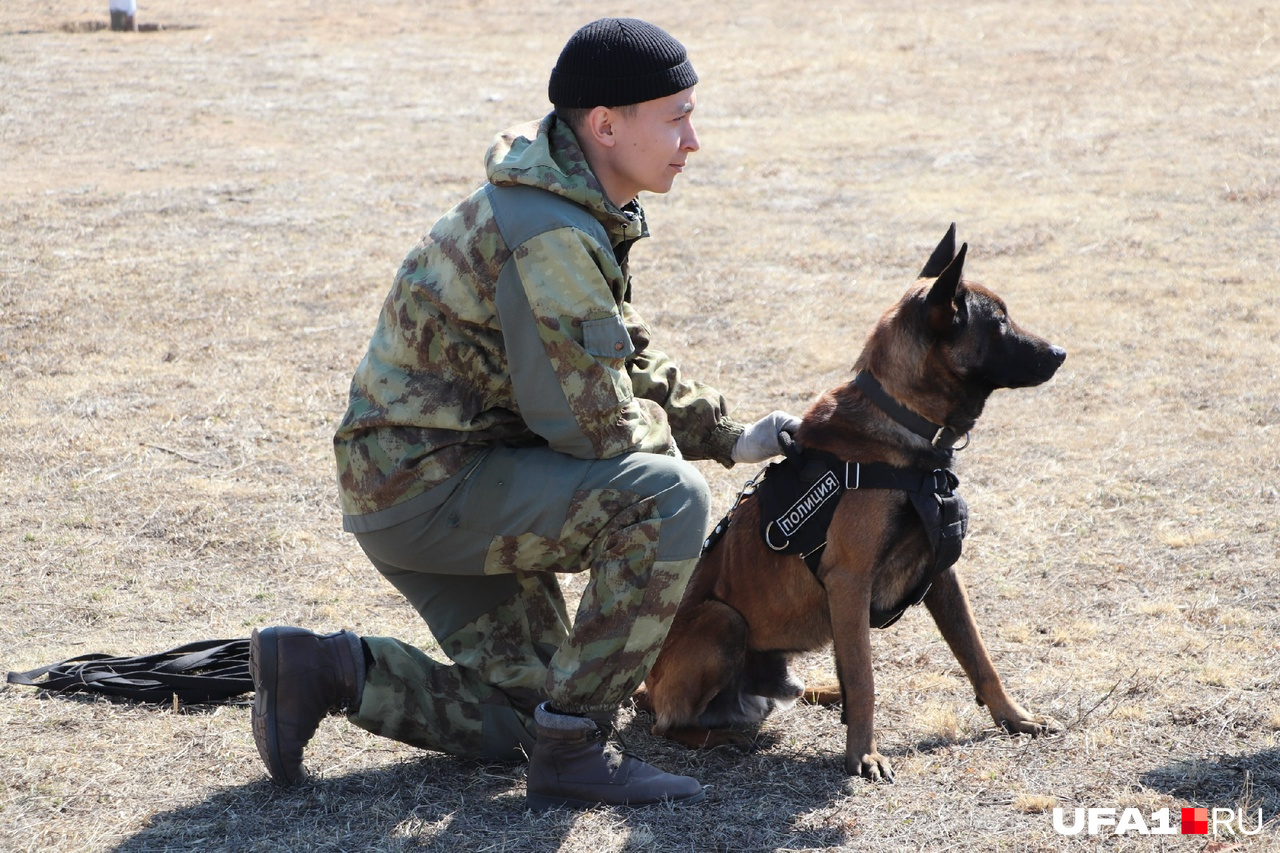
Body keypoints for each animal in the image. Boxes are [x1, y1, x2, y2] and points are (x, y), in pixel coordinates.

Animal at [645, 224, 1064, 778]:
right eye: (997, 323)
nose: (1060, 352)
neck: (899, 419)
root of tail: (642, 686)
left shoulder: (942, 575)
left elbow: (977, 655)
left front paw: (1013, 717)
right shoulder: (850, 580)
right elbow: (866, 680)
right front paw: (864, 754)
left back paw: (822, 693)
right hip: (722, 620)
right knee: (669, 726)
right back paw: (724, 736)